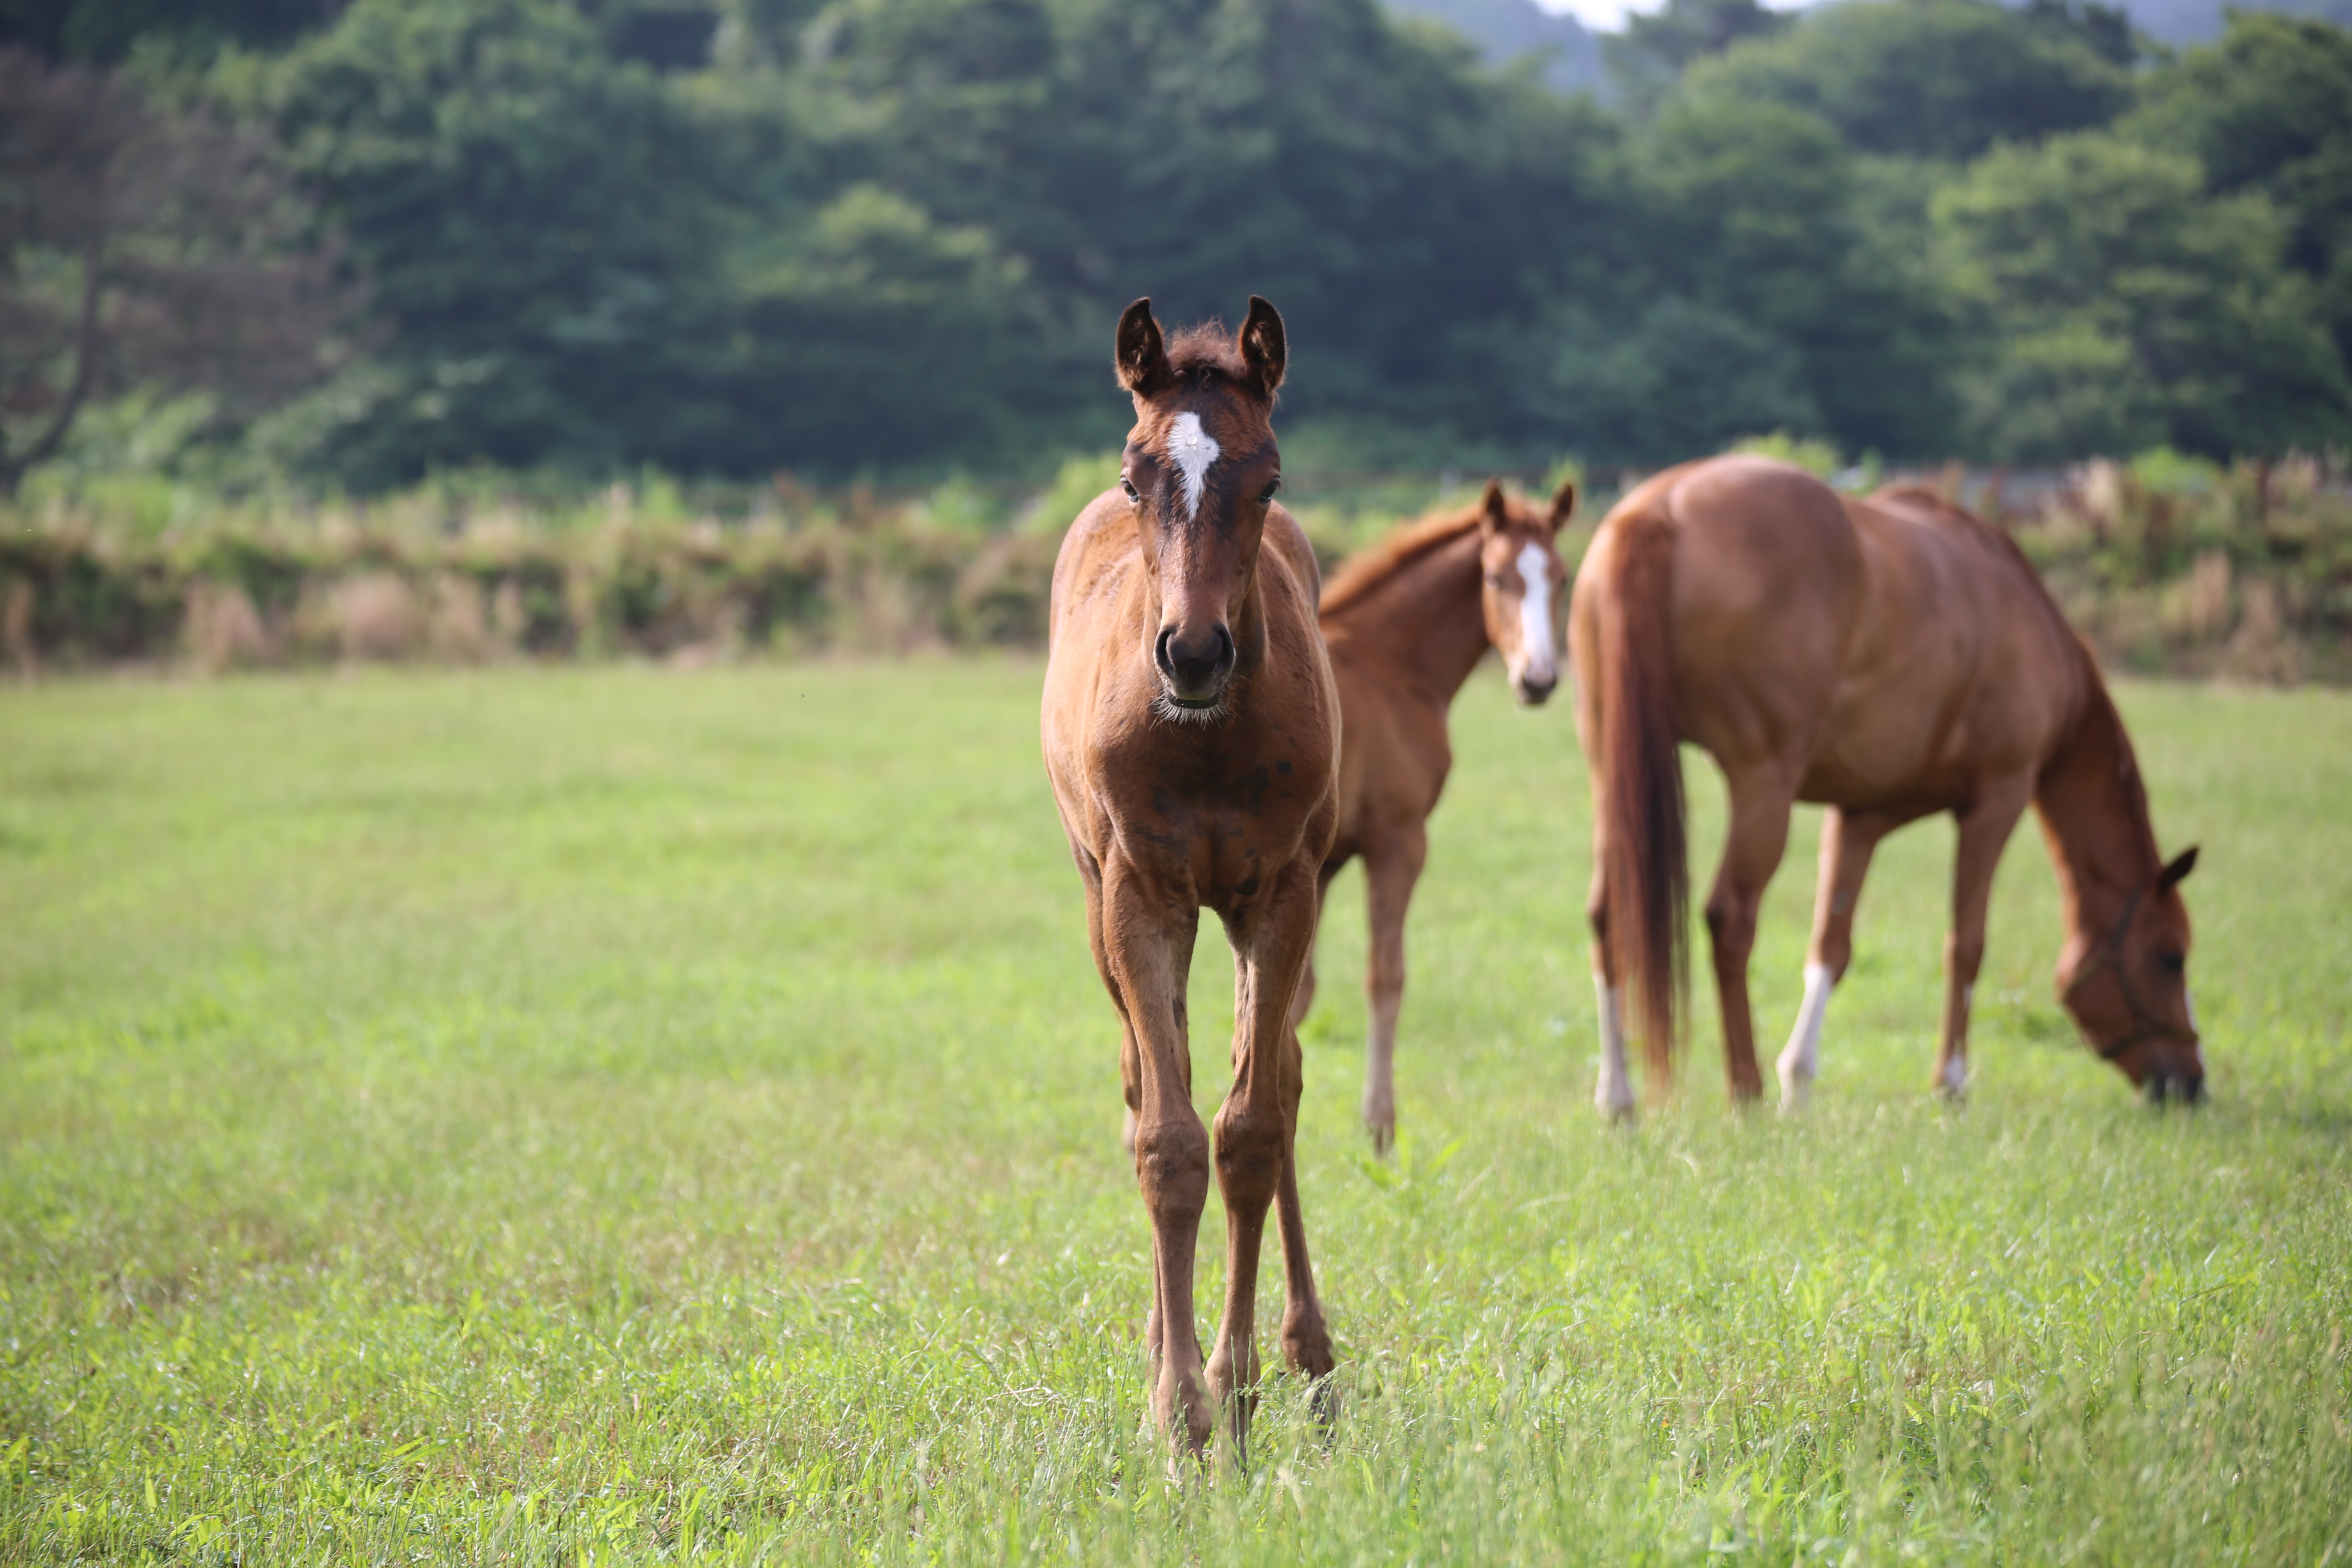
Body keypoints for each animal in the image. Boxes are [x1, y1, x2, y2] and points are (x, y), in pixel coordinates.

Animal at [1044, 301, 1354, 1467]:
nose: (1191, 653)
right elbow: (1169, 1139)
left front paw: (1231, 1382)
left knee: (1273, 1080)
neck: (1207, 737)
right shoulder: (1142, 896)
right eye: (1140, 480)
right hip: (1099, 899)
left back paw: (1302, 1354)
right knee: (1148, 1080)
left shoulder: (1284, 891)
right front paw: (1176, 1410)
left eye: (1266, 478)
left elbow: (1251, 1127)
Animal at [1289, 472, 1580, 1147]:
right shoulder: (1398, 840)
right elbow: (1384, 975)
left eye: (1561, 579)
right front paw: (1380, 1125)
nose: (1538, 680)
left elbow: (1297, 994)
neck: (1390, 660)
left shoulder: (1325, 863)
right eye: (1495, 578)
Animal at [1561, 454, 2201, 1114]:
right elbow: (1966, 944)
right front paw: (1950, 1084)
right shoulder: (1997, 800)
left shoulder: (1860, 817)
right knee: (1730, 918)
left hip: (1614, 776)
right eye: (2169, 957)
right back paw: (1746, 1092)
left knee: (1609, 916)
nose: (2190, 1083)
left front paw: (1800, 1084)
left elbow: (1831, 949)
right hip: (1763, 787)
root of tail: (1659, 510)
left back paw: (1619, 1098)